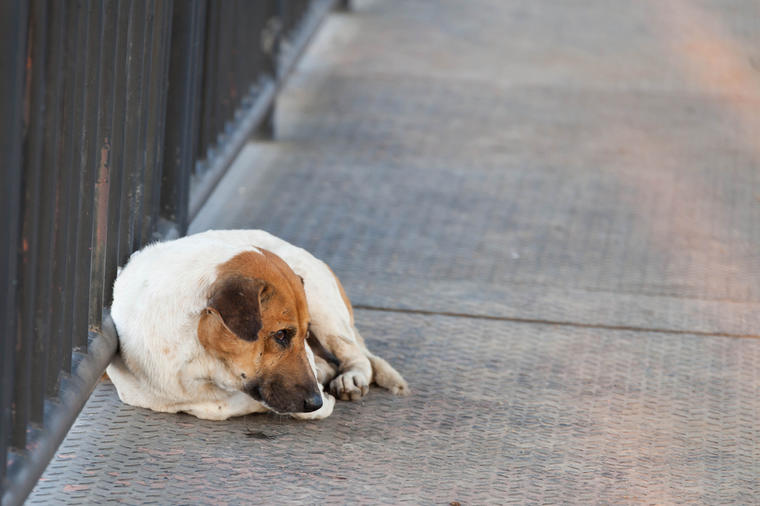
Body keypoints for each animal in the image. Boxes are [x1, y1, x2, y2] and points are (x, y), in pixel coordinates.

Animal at [105, 229, 410, 420]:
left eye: (305, 333)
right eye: (281, 335)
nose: (316, 401)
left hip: (324, 307)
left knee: (357, 355)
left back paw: (351, 377)